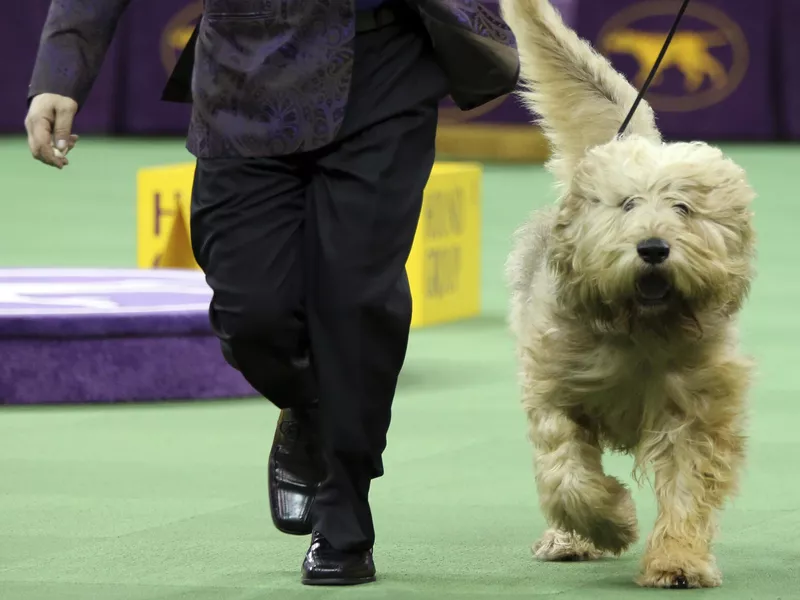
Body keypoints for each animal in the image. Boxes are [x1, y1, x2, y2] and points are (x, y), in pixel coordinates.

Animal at [500, 0, 756, 592]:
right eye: (627, 205)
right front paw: (610, 522)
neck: (639, 328)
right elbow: (566, 473)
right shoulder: (554, 388)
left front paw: (678, 561)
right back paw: (568, 539)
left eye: (683, 207)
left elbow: (687, 487)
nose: (654, 248)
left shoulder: (695, 408)